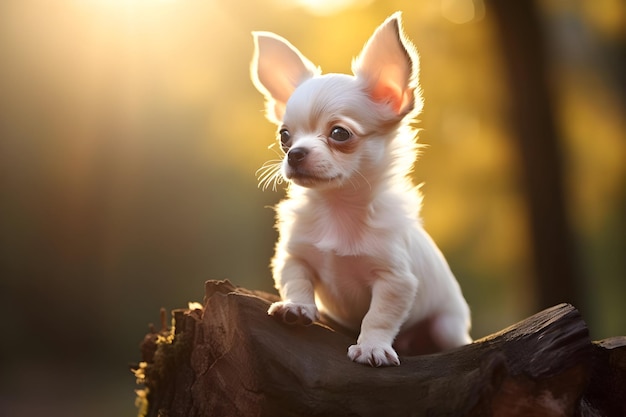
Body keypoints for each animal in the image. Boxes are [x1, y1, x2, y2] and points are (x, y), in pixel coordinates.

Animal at [249, 11, 468, 366]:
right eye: (285, 136)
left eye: (339, 134)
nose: (295, 154)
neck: (338, 208)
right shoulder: (292, 256)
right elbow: (296, 280)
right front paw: (297, 307)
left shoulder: (396, 280)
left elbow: (378, 316)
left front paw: (372, 347)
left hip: (447, 326)